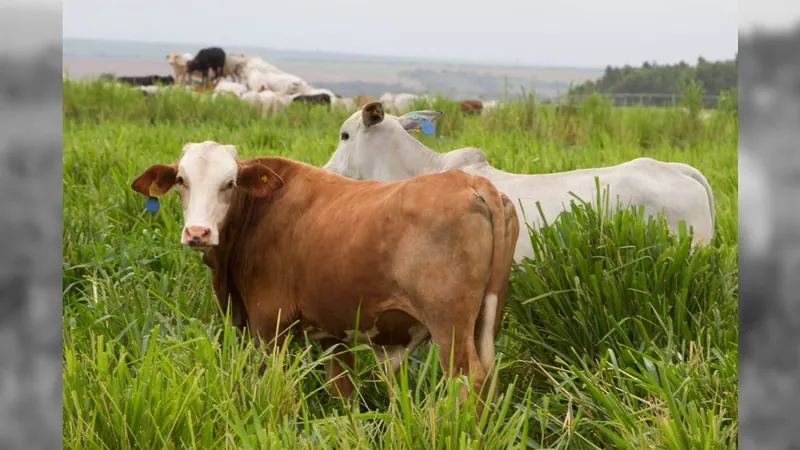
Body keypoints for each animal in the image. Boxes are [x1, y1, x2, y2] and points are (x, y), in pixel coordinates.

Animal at [131, 141, 520, 412]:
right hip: (486, 320)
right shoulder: (334, 335)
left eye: (230, 183)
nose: (198, 233)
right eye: (181, 180)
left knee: (469, 381)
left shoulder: (269, 326)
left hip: (449, 327)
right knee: (489, 382)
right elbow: (344, 393)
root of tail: (472, 182)